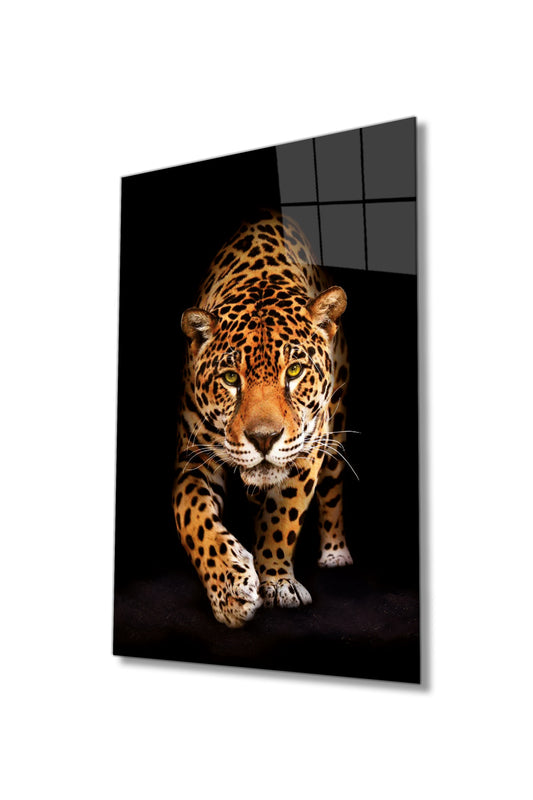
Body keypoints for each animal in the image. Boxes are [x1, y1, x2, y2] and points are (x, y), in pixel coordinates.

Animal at [172, 209, 353, 628]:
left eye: (294, 371)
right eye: (230, 378)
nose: (264, 438)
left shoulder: (307, 450)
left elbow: (282, 516)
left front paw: (277, 582)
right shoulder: (193, 457)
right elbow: (192, 516)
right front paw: (230, 589)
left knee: (332, 489)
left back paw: (335, 552)